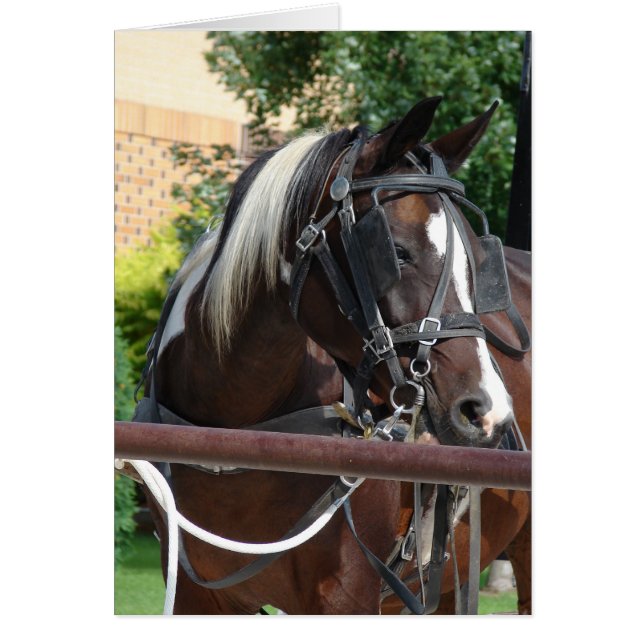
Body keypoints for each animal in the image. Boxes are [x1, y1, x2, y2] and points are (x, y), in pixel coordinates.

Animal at [132, 96, 532, 615]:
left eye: (479, 263)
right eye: (396, 252)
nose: (486, 411)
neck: (239, 432)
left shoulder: (348, 595)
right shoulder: (195, 595)